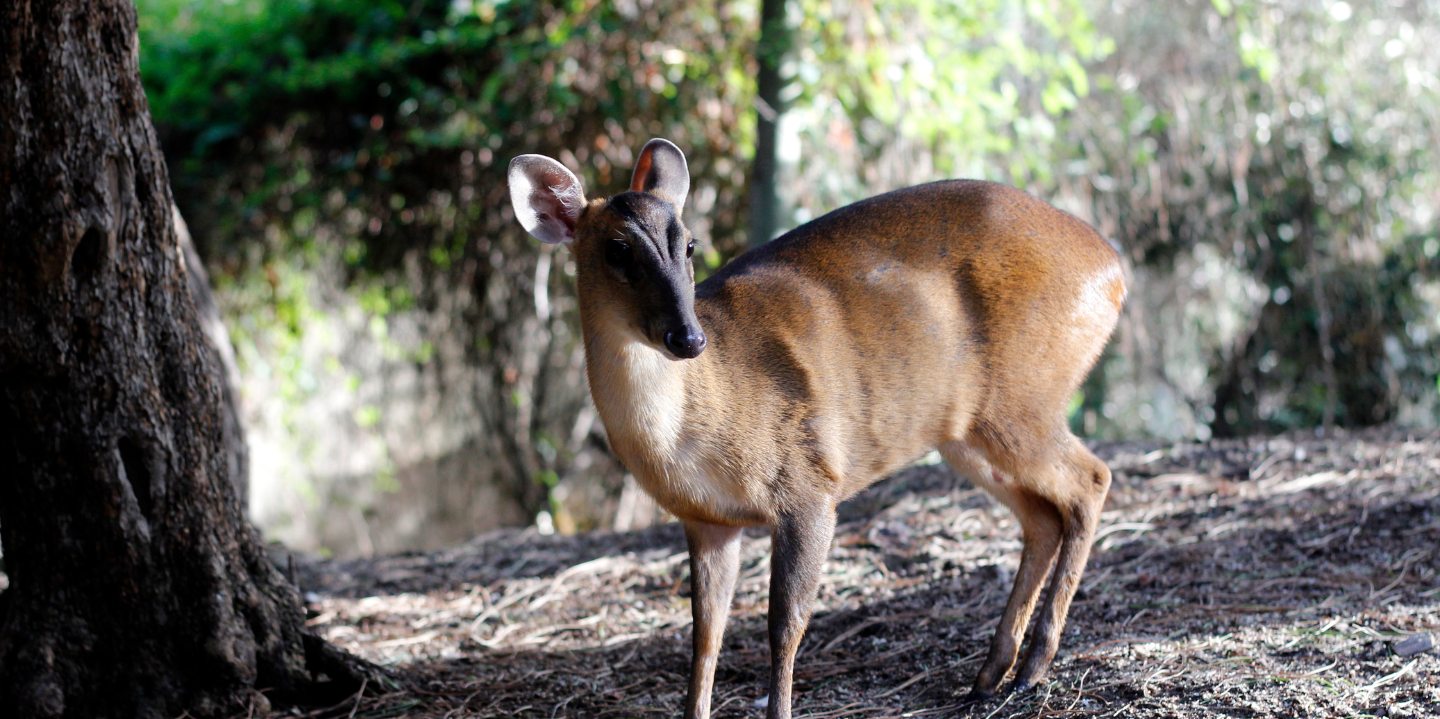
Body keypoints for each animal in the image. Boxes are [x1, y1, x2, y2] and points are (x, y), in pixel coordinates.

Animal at [506, 137, 1123, 717]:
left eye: (689, 245)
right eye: (617, 249)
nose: (688, 337)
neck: (697, 423)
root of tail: (1114, 269)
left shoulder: (808, 487)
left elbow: (786, 622)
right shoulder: (706, 520)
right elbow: (704, 635)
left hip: (1023, 400)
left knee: (1092, 479)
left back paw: (1033, 666)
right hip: (967, 433)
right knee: (1043, 517)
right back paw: (992, 675)